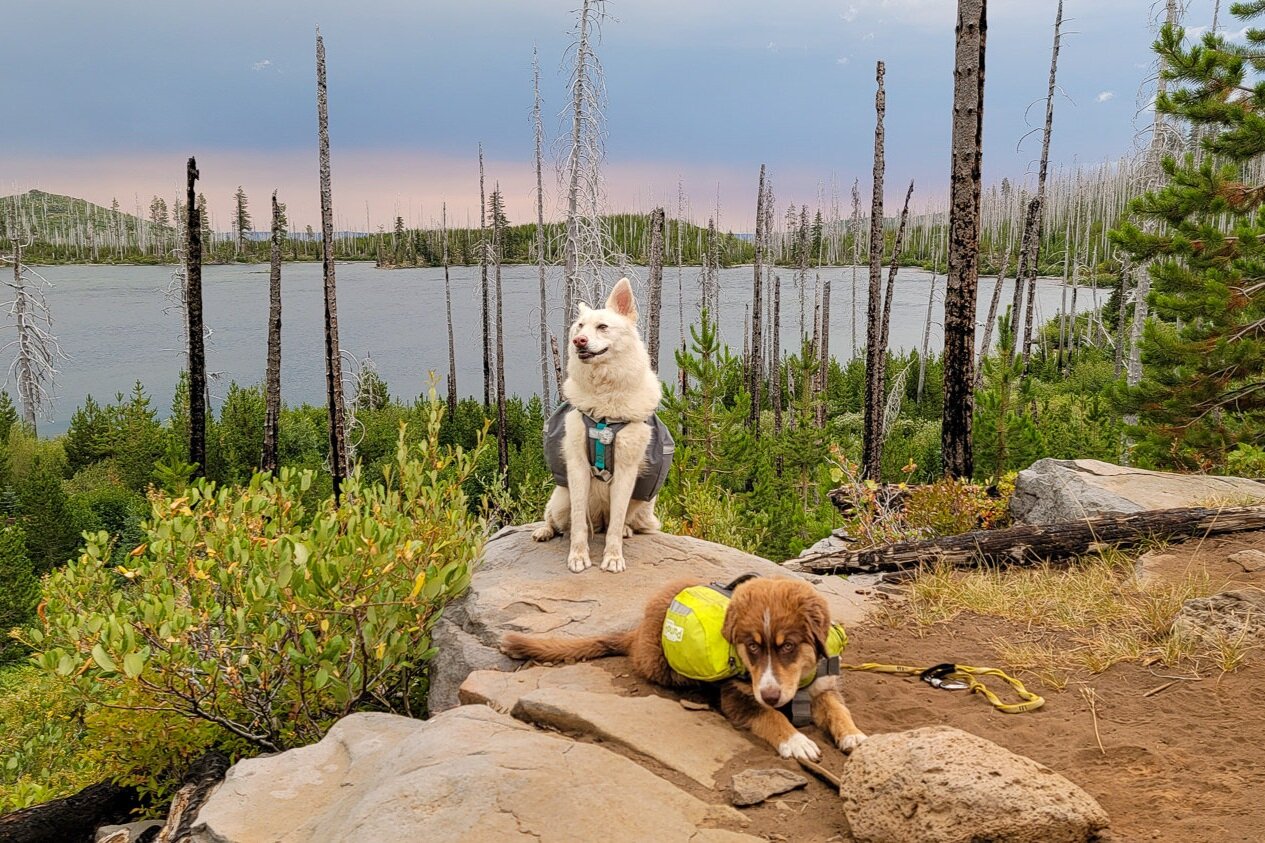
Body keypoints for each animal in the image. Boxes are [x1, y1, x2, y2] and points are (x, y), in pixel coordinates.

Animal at [498, 574, 865, 759]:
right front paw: (796, 741)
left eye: (788, 646)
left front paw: (855, 736)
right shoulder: (737, 695)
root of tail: (639, 629)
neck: (798, 685)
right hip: (661, 664)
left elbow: (839, 710)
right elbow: (770, 717)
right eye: (752, 646)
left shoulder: (822, 687)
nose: (772, 695)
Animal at [533, 275, 672, 572]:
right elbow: (578, 524)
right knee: (558, 520)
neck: (605, 406)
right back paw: (545, 530)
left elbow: (616, 522)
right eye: (579, 326)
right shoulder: (576, 466)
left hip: (639, 502)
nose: (578, 341)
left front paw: (613, 557)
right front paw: (578, 556)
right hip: (561, 498)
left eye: (603, 326)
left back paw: (624, 531)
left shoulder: (626, 469)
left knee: (615, 523)